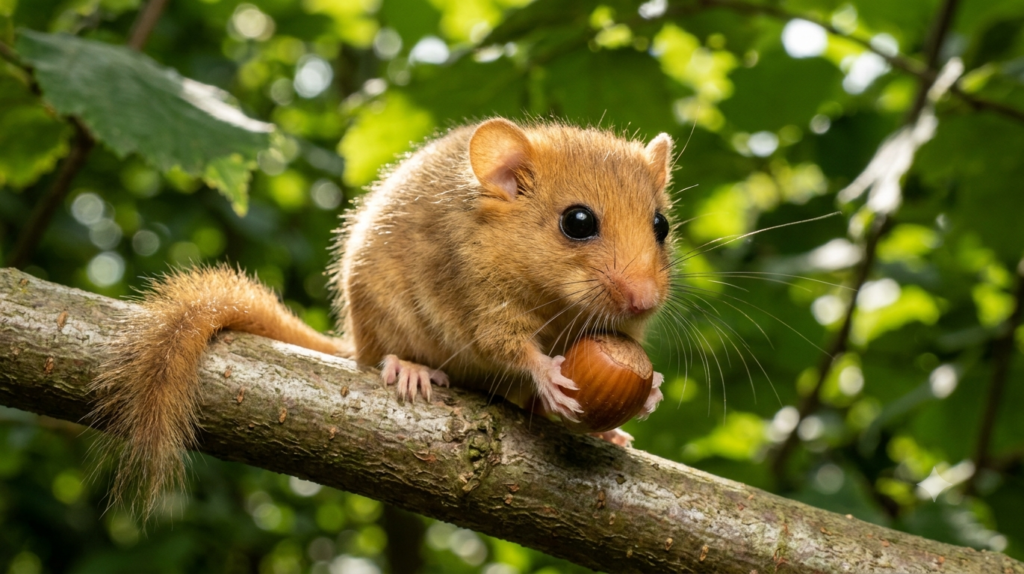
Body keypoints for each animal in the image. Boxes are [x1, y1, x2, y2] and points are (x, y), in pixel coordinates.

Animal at [90, 118, 674, 518]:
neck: (556, 306)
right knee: (387, 356)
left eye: (661, 225)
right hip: (386, 319)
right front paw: (549, 375)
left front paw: (650, 392)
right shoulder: (478, 299)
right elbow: (509, 347)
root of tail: (355, 341)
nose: (645, 301)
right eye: (577, 222)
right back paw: (409, 369)